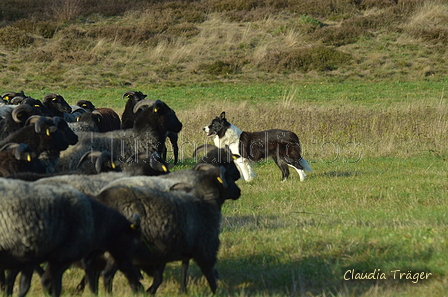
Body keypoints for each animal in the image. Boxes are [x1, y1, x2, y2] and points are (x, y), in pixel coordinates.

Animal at [0, 177, 143, 294]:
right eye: (133, 241)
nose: (139, 284)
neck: (95, 220)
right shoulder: (62, 256)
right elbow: (50, 284)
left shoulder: (30, 258)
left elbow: (25, 286)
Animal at [96, 163, 240, 294]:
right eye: (229, 178)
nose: (239, 191)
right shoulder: (204, 247)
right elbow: (208, 274)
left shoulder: (173, 247)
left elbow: (176, 269)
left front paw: (180, 290)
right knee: (111, 273)